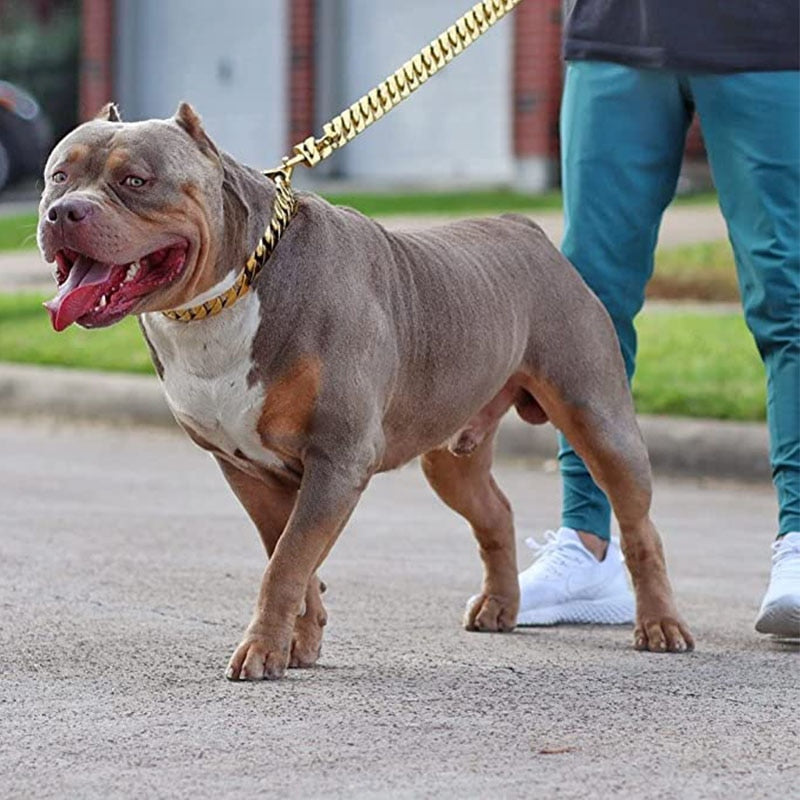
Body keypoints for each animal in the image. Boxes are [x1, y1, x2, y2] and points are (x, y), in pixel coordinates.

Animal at [37, 103, 692, 680]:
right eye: (58, 176)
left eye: (136, 180)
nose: (62, 213)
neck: (225, 295)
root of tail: (525, 228)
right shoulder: (247, 467)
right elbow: (290, 556)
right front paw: (296, 643)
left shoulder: (338, 458)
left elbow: (287, 561)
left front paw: (263, 650)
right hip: (451, 456)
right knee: (495, 514)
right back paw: (501, 606)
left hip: (598, 419)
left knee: (641, 528)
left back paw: (660, 625)